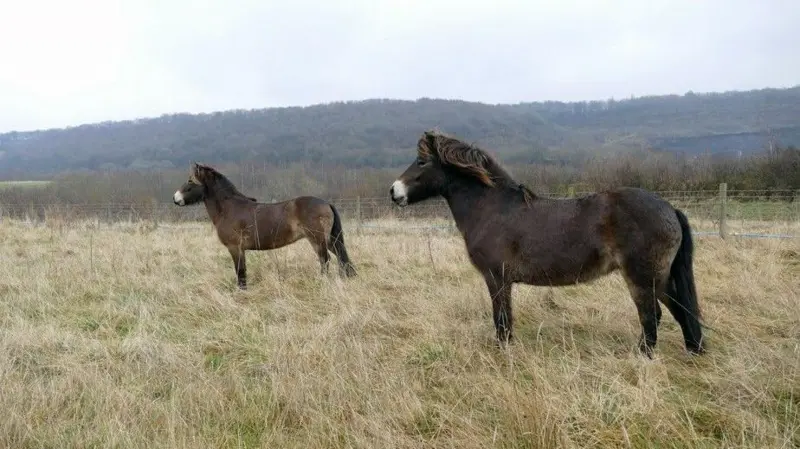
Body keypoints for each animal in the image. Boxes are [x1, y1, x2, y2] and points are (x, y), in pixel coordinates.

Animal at [172, 162, 356, 289]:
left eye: (190, 181)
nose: (175, 198)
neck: (229, 208)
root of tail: (326, 203)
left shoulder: (235, 248)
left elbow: (240, 271)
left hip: (317, 240)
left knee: (325, 260)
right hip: (330, 240)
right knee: (340, 257)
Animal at [389, 130, 705, 358]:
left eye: (421, 162)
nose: (394, 191)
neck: (492, 208)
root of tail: (670, 208)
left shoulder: (496, 279)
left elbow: (501, 320)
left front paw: (503, 353)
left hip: (642, 278)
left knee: (652, 316)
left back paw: (642, 357)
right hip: (659, 279)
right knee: (680, 311)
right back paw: (693, 351)